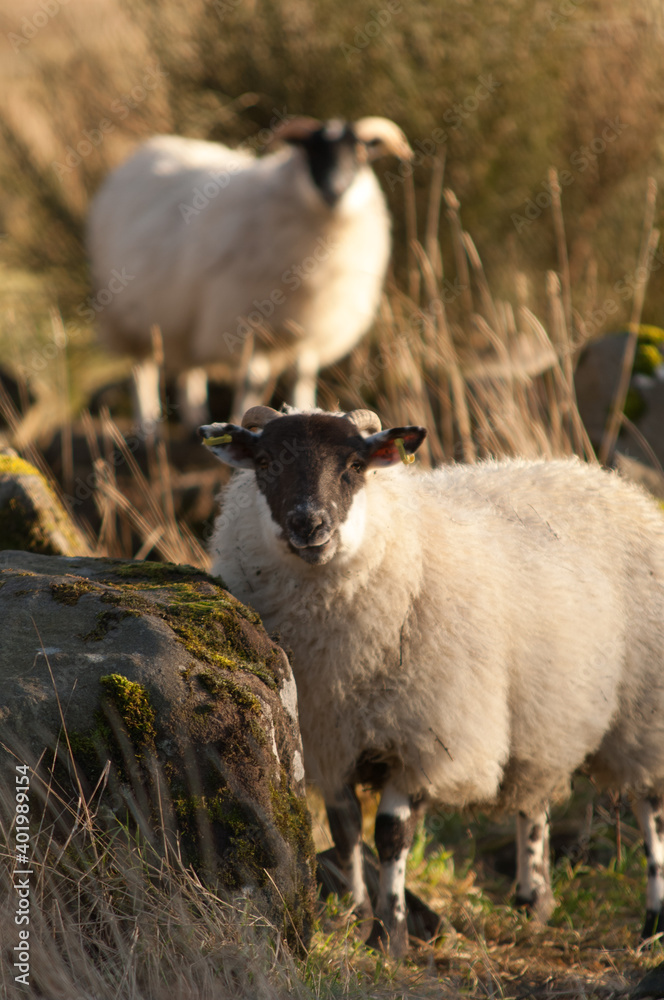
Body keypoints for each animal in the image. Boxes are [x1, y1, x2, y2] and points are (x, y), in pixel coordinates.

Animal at [87, 117, 412, 431]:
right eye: (312, 152)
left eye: (360, 153)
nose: (335, 190)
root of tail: (147, 149)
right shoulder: (247, 321)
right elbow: (251, 382)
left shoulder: (309, 328)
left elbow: (302, 377)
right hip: (132, 318)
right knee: (142, 371)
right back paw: (148, 429)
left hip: (183, 313)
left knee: (191, 364)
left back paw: (192, 418)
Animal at [200, 404, 664, 956]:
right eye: (266, 462)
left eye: (355, 466)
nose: (309, 524)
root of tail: (602, 477)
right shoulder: (328, 737)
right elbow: (345, 828)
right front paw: (353, 916)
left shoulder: (425, 738)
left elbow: (390, 836)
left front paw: (391, 935)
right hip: (542, 714)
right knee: (533, 798)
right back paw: (532, 900)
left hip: (645, 707)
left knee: (650, 807)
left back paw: (653, 921)